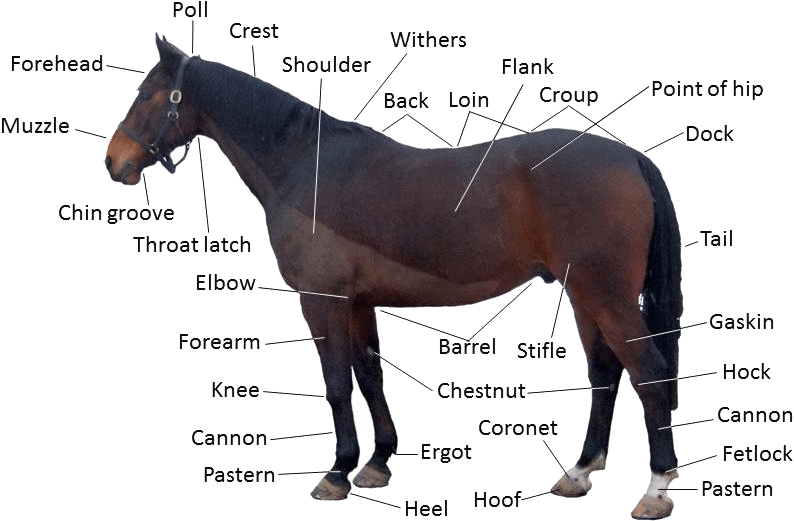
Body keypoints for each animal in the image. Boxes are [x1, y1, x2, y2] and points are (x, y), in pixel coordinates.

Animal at [104, 36, 683, 519]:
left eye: (148, 95)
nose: (114, 161)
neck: (307, 165)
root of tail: (629, 156)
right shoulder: (359, 301)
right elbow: (368, 375)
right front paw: (377, 462)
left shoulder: (322, 298)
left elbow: (337, 382)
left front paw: (337, 472)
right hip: (585, 295)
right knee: (605, 373)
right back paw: (579, 472)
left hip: (605, 295)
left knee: (648, 373)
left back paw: (655, 490)